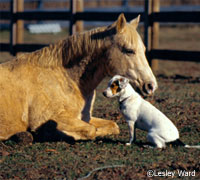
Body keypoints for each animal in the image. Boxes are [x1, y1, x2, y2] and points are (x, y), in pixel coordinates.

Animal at [0, 13, 156, 141]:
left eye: (143, 50)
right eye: (129, 50)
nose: (151, 85)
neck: (66, 79)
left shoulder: (84, 118)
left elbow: (113, 126)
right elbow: (91, 131)